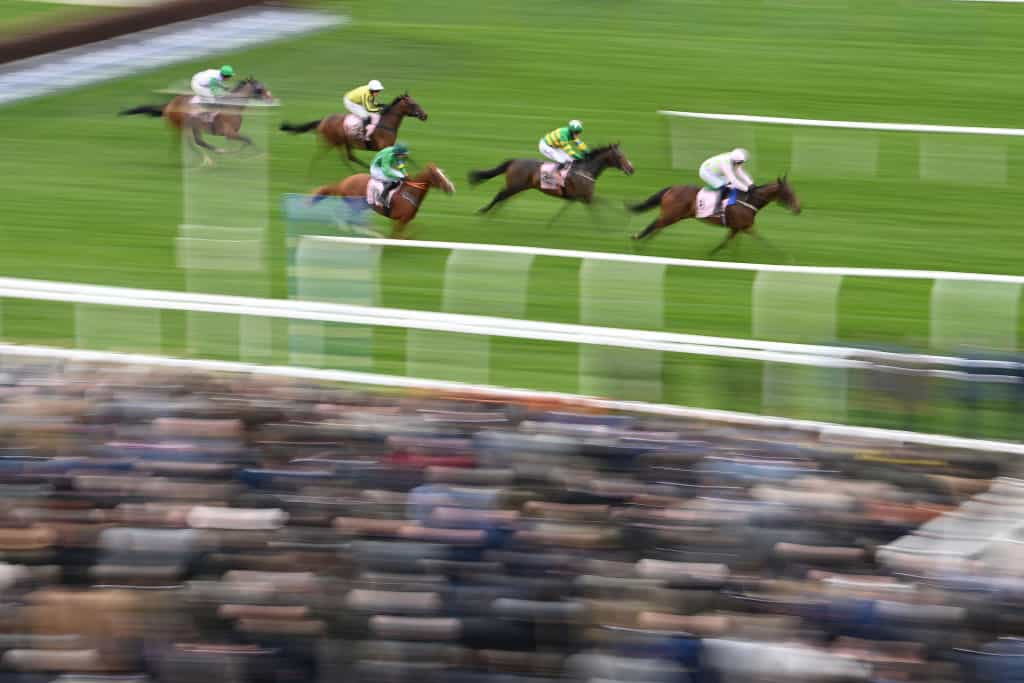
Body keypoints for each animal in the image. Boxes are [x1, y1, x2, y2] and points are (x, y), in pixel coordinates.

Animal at [118, 77, 276, 166]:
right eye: (260, 88)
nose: (271, 98)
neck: (232, 106)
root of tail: (168, 105)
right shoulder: (228, 132)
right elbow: (248, 139)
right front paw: (259, 154)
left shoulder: (231, 133)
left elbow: (245, 141)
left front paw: (240, 153)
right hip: (184, 125)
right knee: (193, 143)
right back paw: (208, 160)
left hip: (193, 127)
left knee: (197, 142)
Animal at [276, 92, 428, 165]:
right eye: (413, 104)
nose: (425, 115)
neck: (386, 124)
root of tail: (323, 120)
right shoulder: (383, 147)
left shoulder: (391, 147)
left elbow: (406, 156)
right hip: (333, 142)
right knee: (321, 157)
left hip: (343, 143)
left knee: (349, 158)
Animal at [307, 163, 456, 239]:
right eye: (437, 175)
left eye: (444, 173)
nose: (451, 188)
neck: (410, 192)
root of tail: (344, 182)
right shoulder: (401, 219)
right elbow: (397, 236)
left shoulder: (403, 220)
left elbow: (414, 230)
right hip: (355, 204)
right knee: (345, 216)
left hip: (361, 206)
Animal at [468, 145, 630, 218]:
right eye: (620, 156)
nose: (631, 168)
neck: (585, 170)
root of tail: (513, 161)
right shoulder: (587, 198)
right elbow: (605, 205)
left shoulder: (582, 198)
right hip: (515, 186)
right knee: (500, 195)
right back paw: (484, 211)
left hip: (518, 187)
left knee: (503, 196)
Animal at [626, 176, 802, 259]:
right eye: (788, 193)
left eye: (793, 191)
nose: (798, 209)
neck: (749, 200)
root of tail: (671, 188)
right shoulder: (745, 227)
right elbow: (763, 240)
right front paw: (785, 256)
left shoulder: (738, 228)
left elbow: (728, 243)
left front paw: (724, 256)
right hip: (672, 215)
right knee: (655, 225)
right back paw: (637, 241)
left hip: (676, 216)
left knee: (657, 227)